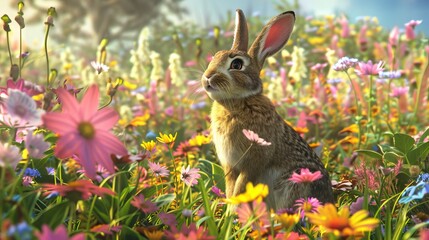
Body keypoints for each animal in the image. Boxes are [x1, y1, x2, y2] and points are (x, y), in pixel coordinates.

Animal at [201, 8, 334, 210]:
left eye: (237, 65)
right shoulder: (231, 166)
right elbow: (232, 188)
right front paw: (229, 211)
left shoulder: (253, 161)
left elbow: (241, 188)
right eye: (215, 57)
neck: (238, 101)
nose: (208, 77)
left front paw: (232, 211)